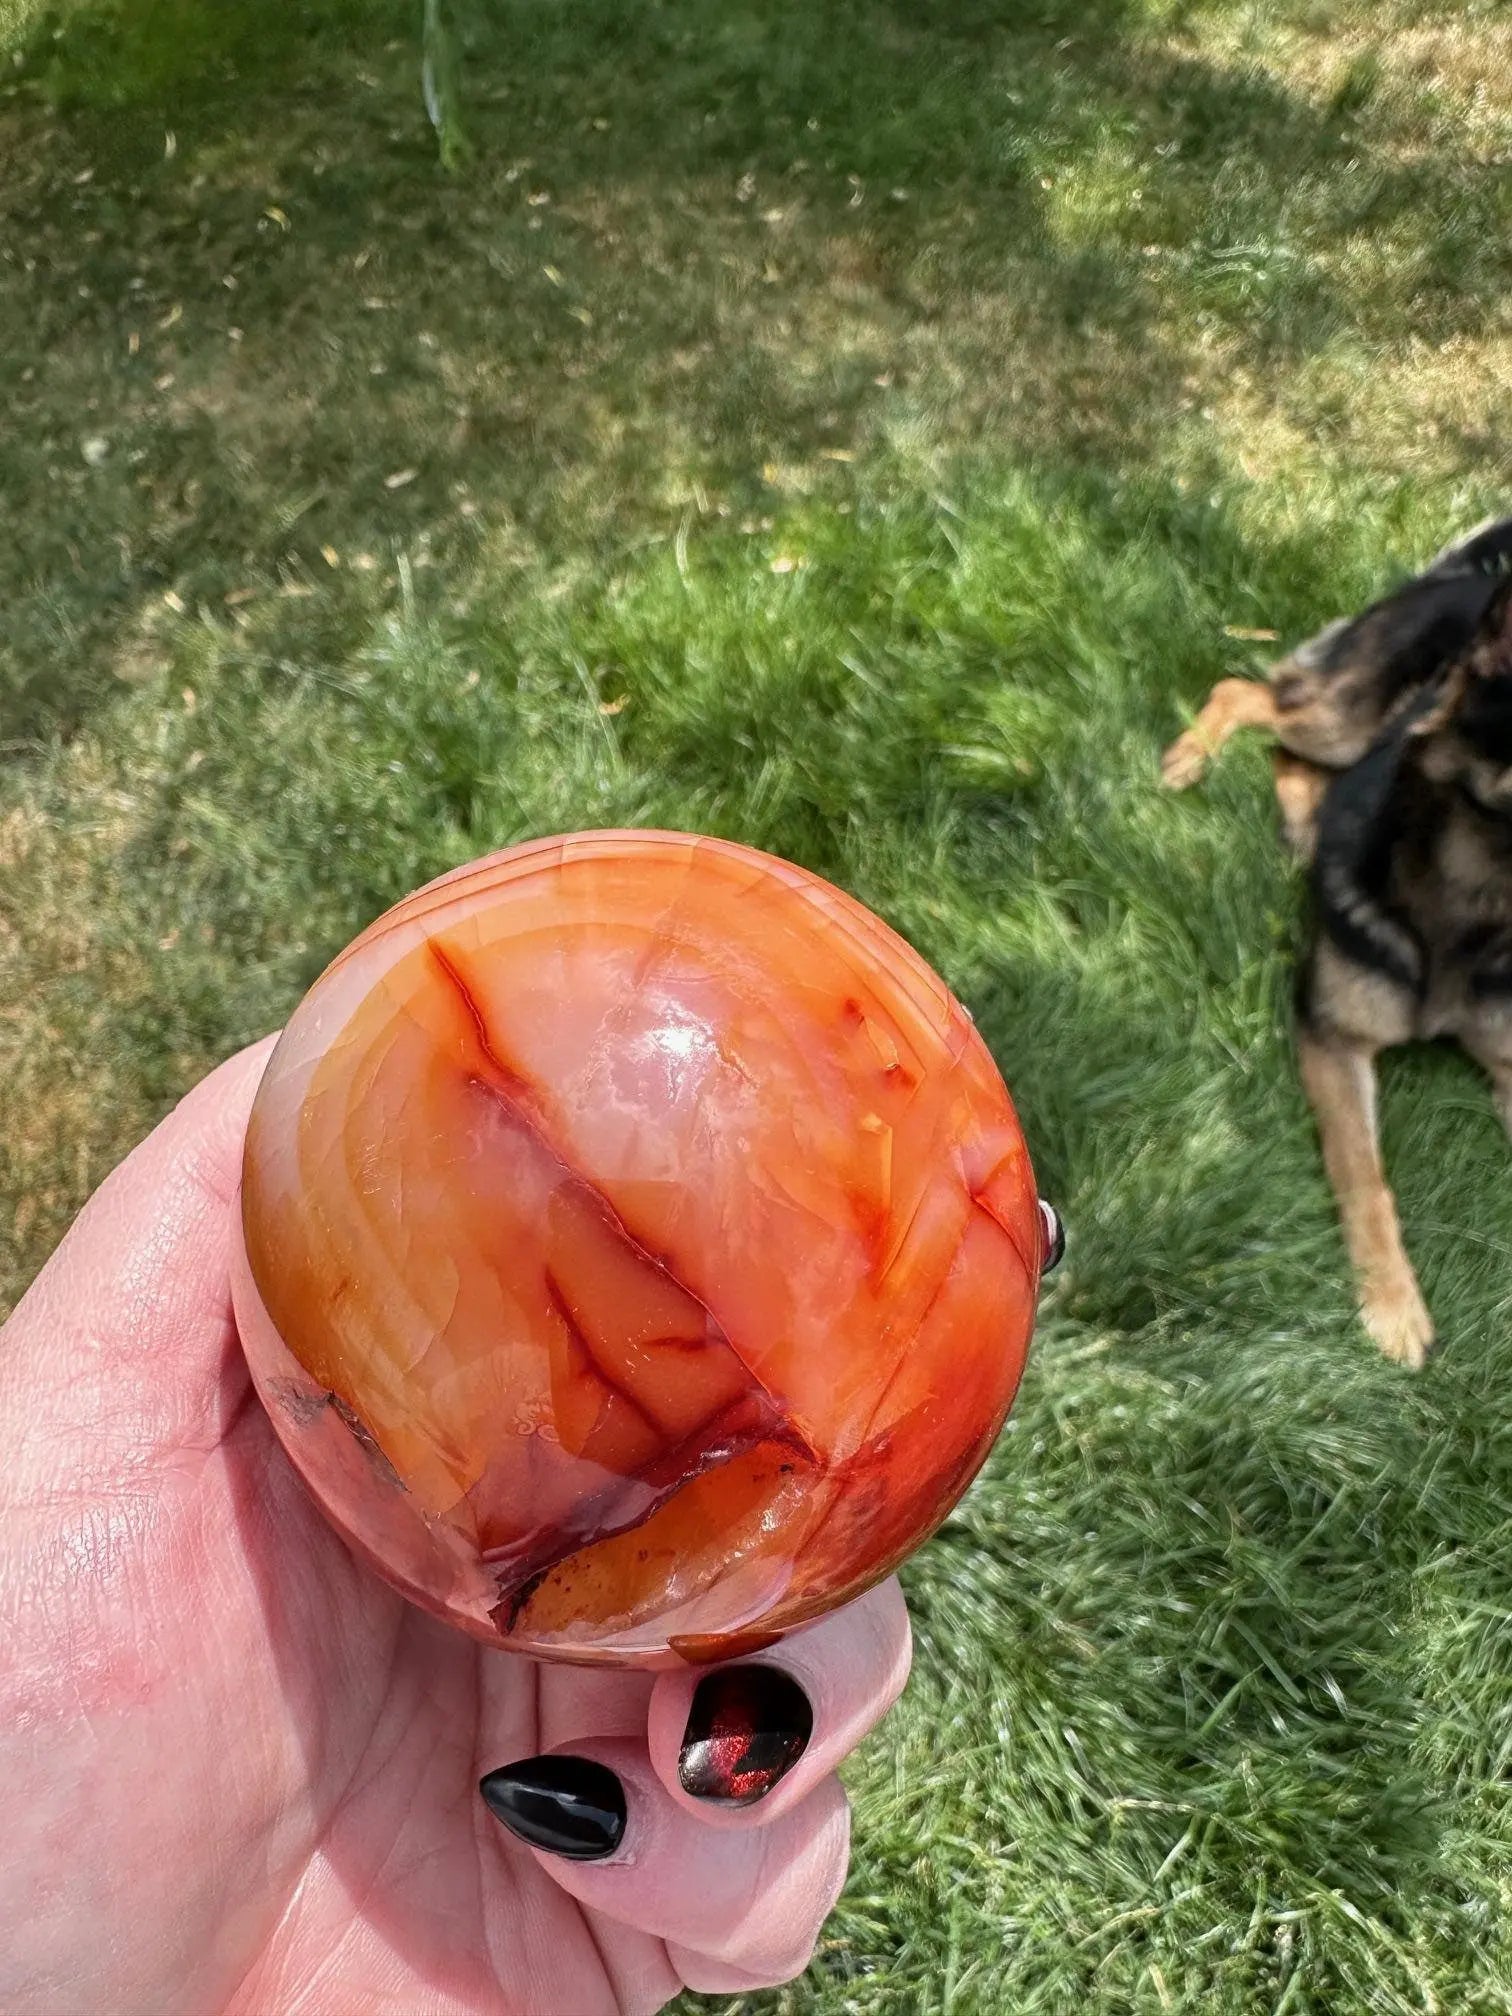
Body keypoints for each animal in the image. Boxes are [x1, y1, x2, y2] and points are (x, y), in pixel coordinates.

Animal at [1161, 520, 1512, 1370]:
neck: (1474, 902)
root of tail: (1462, 575)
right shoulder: (1333, 1039)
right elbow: (1366, 1178)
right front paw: (1392, 1305)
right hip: (1343, 719)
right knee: (1245, 693)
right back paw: (1191, 757)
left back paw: (1306, 824)